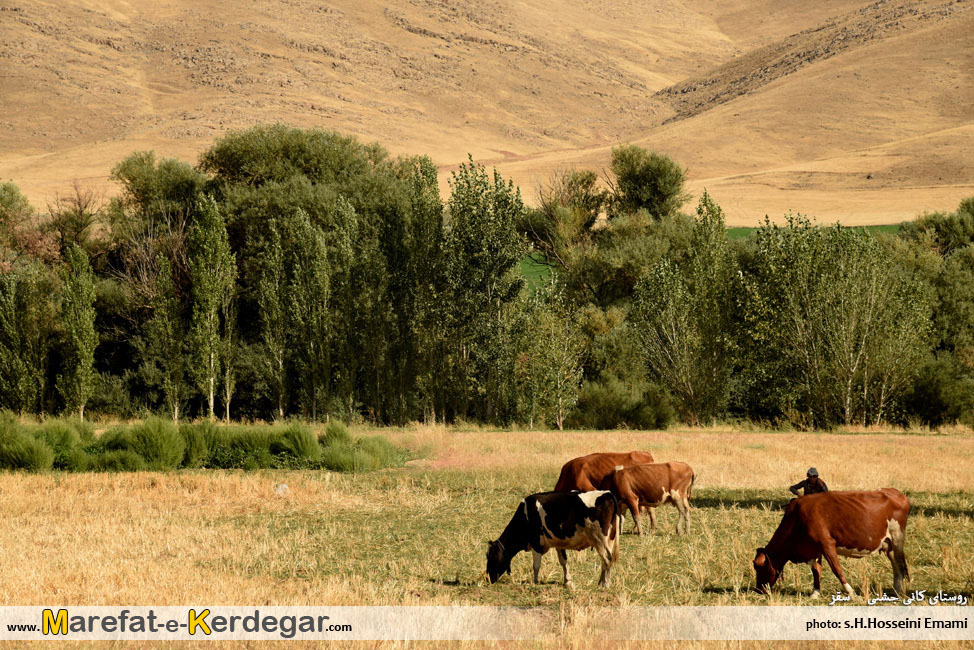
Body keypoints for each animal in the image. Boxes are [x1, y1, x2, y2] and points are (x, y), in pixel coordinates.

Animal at [488, 488, 624, 584]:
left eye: (491, 556)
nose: (488, 578)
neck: (525, 515)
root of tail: (607, 493)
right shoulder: (559, 543)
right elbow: (563, 561)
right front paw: (567, 581)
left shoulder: (536, 543)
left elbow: (536, 565)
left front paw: (534, 582)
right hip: (609, 539)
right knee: (605, 561)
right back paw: (601, 582)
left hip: (599, 539)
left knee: (607, 558)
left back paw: (605, 584)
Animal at [756, 486, 916, 596]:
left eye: (758, 566)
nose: (758, 589)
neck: (796, 518)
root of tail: (896, 492)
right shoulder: (814, 549)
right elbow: (816, 571)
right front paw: (815, 593)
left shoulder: (826, 543)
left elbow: (837, 569)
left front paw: (851, 593)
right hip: (888, 544)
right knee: (896, 565)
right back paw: (897, 590)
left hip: (897, 537)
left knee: (900, 564)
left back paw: (900, 593)